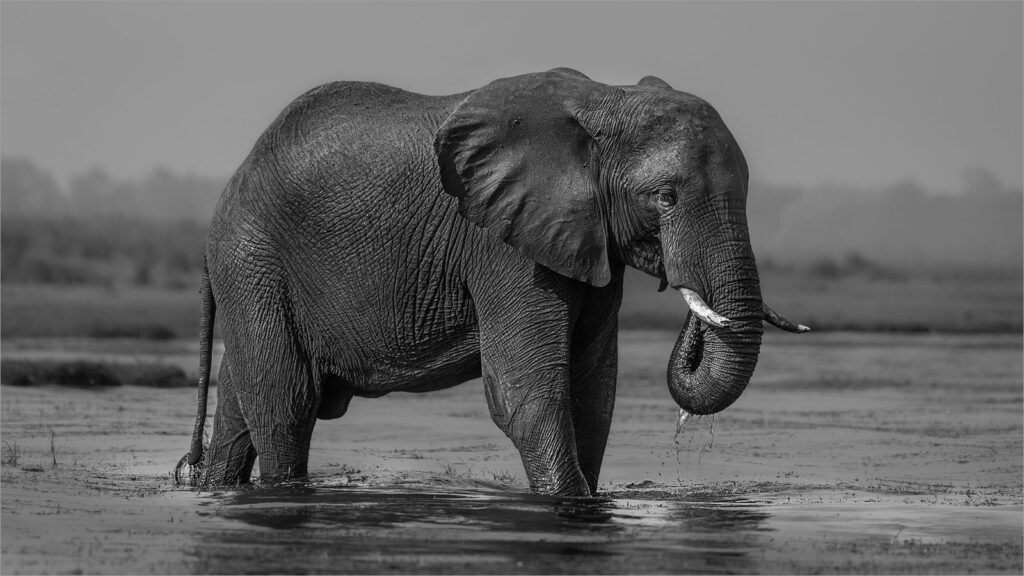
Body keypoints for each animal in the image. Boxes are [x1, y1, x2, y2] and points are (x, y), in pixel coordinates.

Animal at [179, 68, 808, 497]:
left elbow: (593, 395)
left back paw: (217, 489)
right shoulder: (503, 246)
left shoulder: (584, 238)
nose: (689, 296)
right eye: (666, 197)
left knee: (240, 405)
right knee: (285, 404)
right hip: (253, 259)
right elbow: (526, 396)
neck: (606, 99)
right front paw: (566, 502)